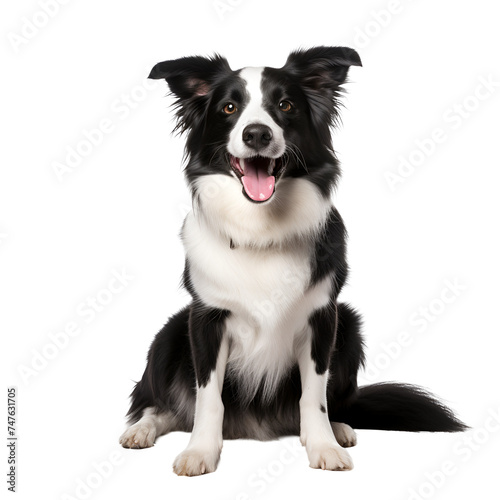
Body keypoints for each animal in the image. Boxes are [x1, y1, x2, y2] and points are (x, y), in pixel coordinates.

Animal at [119, 47, 466, 476]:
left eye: (285, 106)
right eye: (229, 107)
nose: (257, 134)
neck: (261, 231)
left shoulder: (323, 316)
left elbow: (313, 395)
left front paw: (323, 445)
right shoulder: (205, 317)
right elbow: (207, 397)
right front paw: (200, 451)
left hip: (350, 325)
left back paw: (339, 428)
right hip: (169, 335)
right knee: (162, 405)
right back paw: (142, 430)